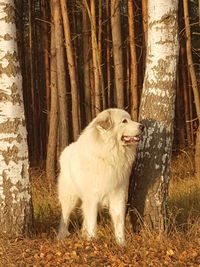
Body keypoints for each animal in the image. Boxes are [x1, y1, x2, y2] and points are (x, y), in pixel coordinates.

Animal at [57, 108, 143, 245]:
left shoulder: (118, 196)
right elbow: (92, 223)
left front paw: (121, 244)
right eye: (124, 121)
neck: (110, 154)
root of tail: (66, 149)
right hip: (69, 196)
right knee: (65, 215)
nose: (142, 126)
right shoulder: (92, 197)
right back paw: (61, 235)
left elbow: (119, 222)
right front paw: (93, 243)